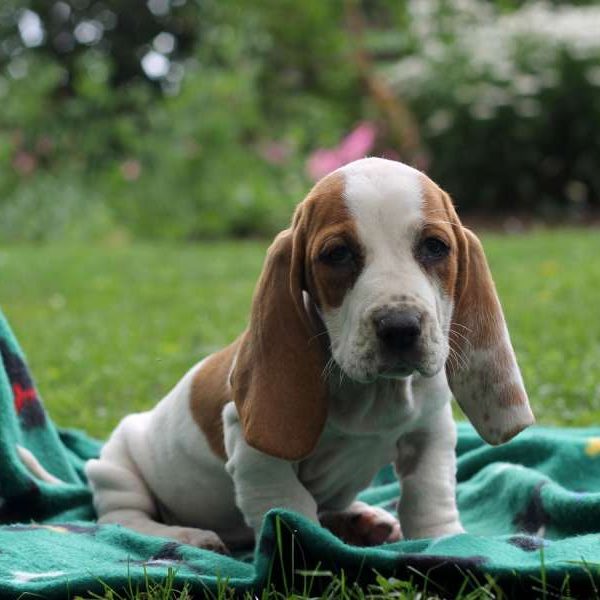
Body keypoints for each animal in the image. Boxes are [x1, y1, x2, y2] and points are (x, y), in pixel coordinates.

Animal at [84, 157, 536, 552]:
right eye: (337, 254)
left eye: (435, 247)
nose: (400, 326)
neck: (373, 396)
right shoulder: (253, 450)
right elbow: (290, 509)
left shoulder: (431, 430)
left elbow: (428, 493)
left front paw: (444, 539)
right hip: (115, 465)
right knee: (123, 518)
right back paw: (185, 538)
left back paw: (361, 518)